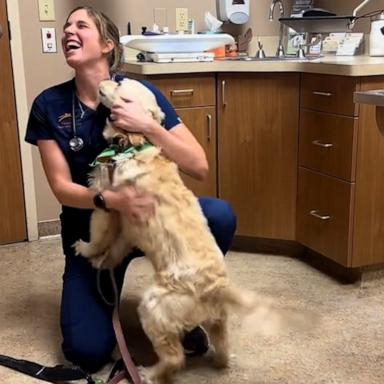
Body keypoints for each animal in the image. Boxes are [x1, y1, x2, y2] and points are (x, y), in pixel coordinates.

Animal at [74, 79, 306, 384]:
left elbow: (98, 235)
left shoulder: (105, 206)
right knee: (222, 348)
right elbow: (115, 248)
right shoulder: (126, 225)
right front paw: (102, 261)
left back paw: (148, 373)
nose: (106, 79)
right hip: (218, 322)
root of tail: (218, 287)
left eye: (120, 83)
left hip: (153, 307)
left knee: (174, 358)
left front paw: (85, 249)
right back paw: (216, 360)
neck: (134, 144)